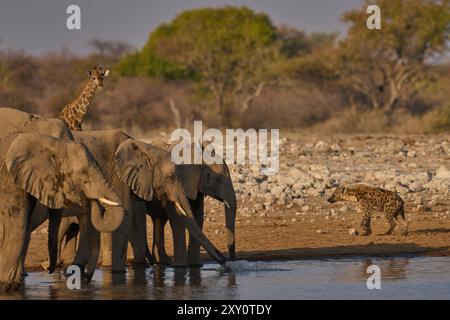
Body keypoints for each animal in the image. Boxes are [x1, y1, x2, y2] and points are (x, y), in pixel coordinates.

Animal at [34, 130, 229, 278]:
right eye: (172, 177)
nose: (226, 263)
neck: (144, 148)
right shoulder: (118, 175)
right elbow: (131, 215)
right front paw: (118, 272)